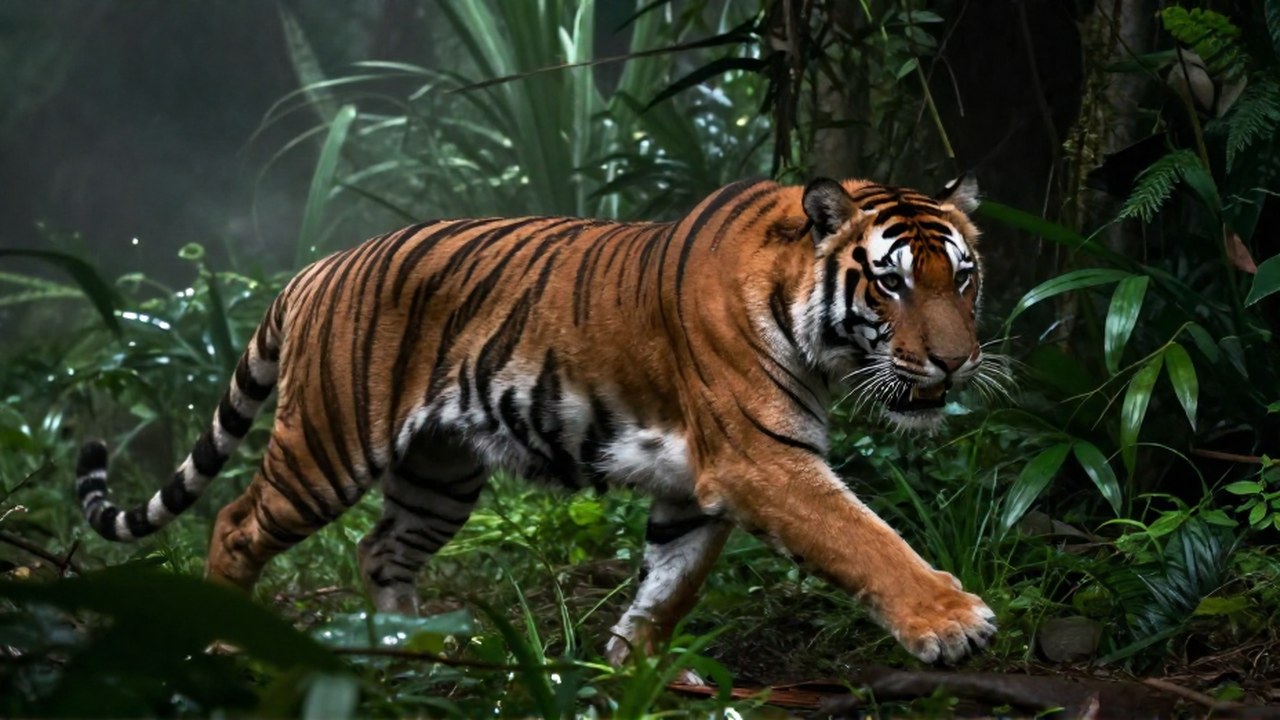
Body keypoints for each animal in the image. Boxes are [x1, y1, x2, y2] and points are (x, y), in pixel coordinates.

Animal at [75, 175, 1000, 666]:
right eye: (890, 283)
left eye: (961, 277)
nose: (956, 362)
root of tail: (312, 271)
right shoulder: (763, 461)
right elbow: (865, 539)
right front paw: (952, 622)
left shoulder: (697, 486)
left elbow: (668, 586)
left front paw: (631, 673)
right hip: (326, 446)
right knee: (235, 523)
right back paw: (226, 647)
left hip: (440, 472)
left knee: (381, 549)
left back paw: (421, 647)